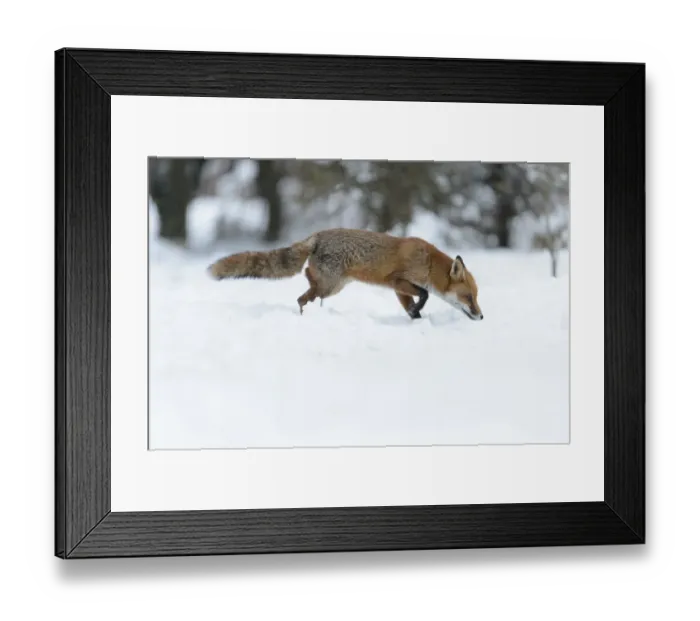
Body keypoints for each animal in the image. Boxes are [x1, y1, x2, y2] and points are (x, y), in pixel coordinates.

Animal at [206, 228, 483, 321]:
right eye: (468, 297)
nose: (481, 316)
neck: (428, 263)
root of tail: (317, 235)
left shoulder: (397, 288)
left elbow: (411, 306)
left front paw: (416, 318)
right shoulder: (397, 280)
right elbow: (424, 294)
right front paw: (418, 310)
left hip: (333, 286)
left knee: (306, 287)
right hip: (331, 285)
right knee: (304, 291)